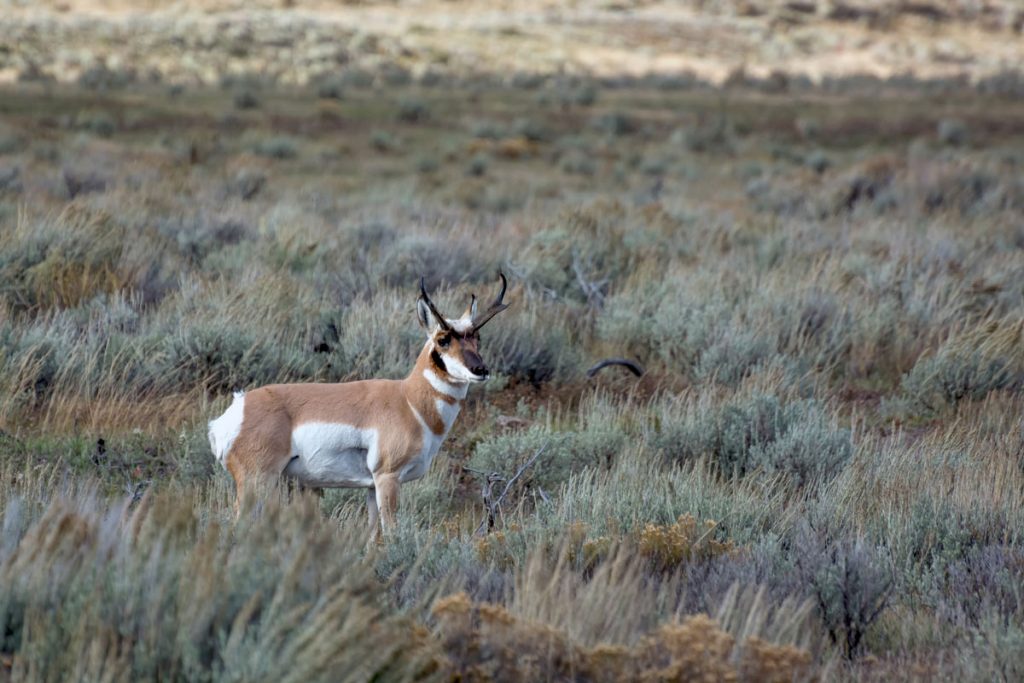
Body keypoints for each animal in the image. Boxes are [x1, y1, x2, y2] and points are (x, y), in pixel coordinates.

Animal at [208, 274, 509, 535]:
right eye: (443, 339)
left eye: (477, 337)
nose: (480, 369)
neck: (409, 400)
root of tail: (237, 409)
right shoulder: (388, 478)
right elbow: (391, 533)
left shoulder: (370, 488)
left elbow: (372, 535)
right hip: (257, 482)